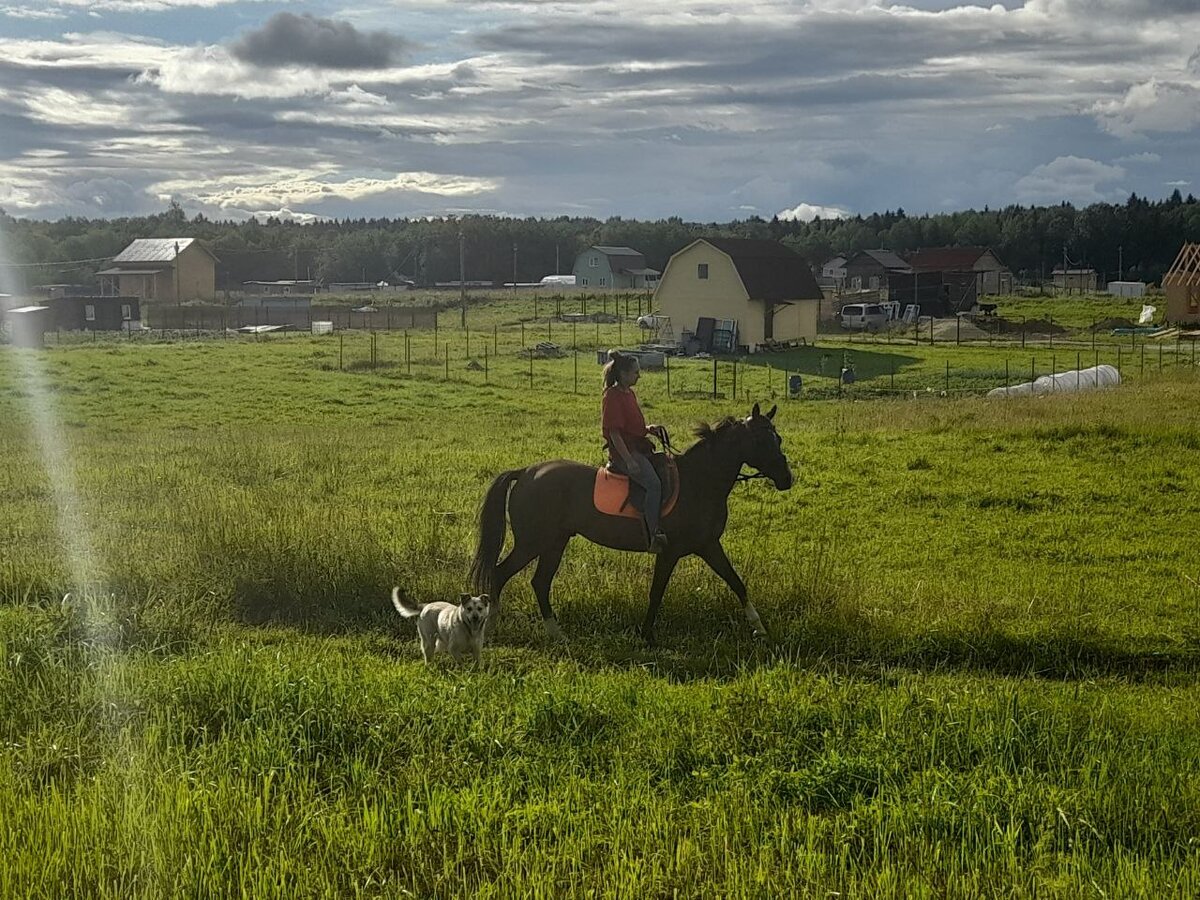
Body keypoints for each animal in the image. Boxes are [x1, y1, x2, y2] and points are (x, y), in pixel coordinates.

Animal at [470, 405, 796, 643]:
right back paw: (490, 629)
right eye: (761, 440)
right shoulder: (671, 551)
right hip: (533, 542)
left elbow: (736, 583)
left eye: (778, 438)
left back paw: (556, 633)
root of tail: (526, 471)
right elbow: (657, 592)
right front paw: (647, 634)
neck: (700, 481)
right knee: (501, 574)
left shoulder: (708, 545)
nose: (786, 479)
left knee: (539, 582)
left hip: (554, 542)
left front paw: (760, 628)